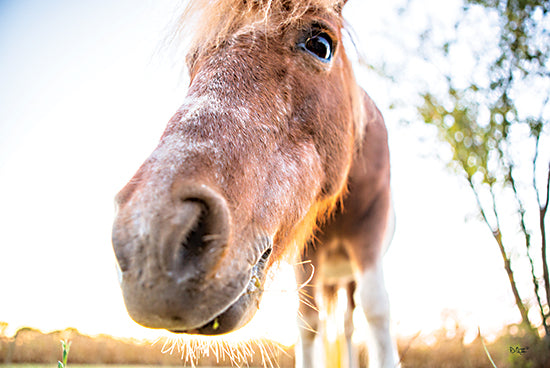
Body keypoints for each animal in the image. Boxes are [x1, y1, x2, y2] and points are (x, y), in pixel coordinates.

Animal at [113, 1, 402, 366]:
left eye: (321, 45)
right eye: (193, 59)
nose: (149, 242)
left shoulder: (369, 237)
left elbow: (376, 311)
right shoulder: (305, 255)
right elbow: (307, 323)